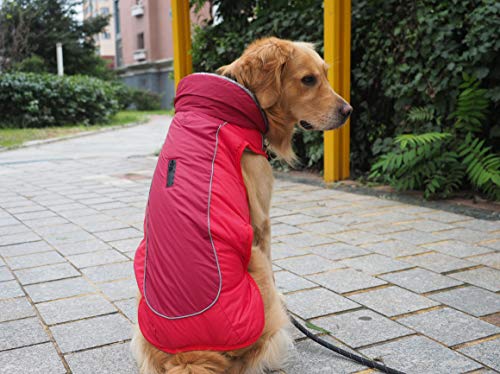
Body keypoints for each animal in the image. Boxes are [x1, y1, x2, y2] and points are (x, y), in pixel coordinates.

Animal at [133, 38, 352, 374]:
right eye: (308, 80)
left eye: (325, 74)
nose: (348, 111)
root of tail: (191, 357)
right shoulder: (261, 223)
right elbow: (274, 272)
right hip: (255, 260)